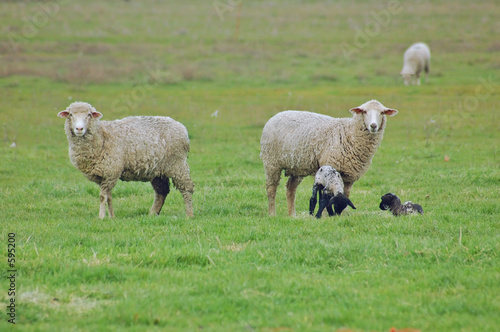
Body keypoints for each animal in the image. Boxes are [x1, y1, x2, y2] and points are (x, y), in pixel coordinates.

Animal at [56, 102, 193, 219]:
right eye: (71, 115)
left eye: (89, 115)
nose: (79, 129)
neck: (102, 137)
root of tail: (181, 127)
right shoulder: (105, 176)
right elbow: (109, 197)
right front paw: (112, 217)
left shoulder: (111, 172)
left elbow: (102, 197)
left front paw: (101, 217)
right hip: (157, 171)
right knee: (162, 192)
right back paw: (152, 214)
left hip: (177, 164)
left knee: (186, 188)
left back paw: (189, 215)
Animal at [260, 100, 396, 217]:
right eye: (364, 111)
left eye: (382, 112)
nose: (373, 125)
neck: (349, 133)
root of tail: (277, 115)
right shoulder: (331, 167)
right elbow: (328, 196)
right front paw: (326, 215)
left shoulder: (349, 176)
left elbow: (346, 195)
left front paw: (342, 214)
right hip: (272, 162)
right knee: (271, 189)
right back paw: (272, 214)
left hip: (297, 166)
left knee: (290, 189)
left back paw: (292, 215)